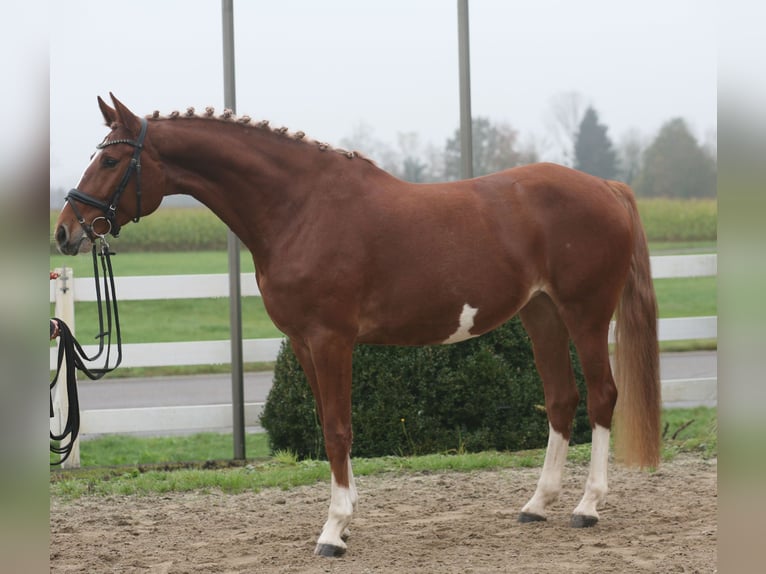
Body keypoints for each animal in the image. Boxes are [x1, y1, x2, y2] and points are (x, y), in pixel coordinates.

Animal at [55, 93, 664, 560]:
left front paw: (334, 531)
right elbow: (329, 428)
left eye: (110, 162)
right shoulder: (303, 343)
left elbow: (338, 430)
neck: (300, 209)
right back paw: (537, 505)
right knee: (561, 399)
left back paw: (587, 507)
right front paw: (341, 521)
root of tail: (606, 188)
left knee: (602, 396)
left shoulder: (332, 341)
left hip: (586, 313)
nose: (65, 231)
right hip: (541, 314)